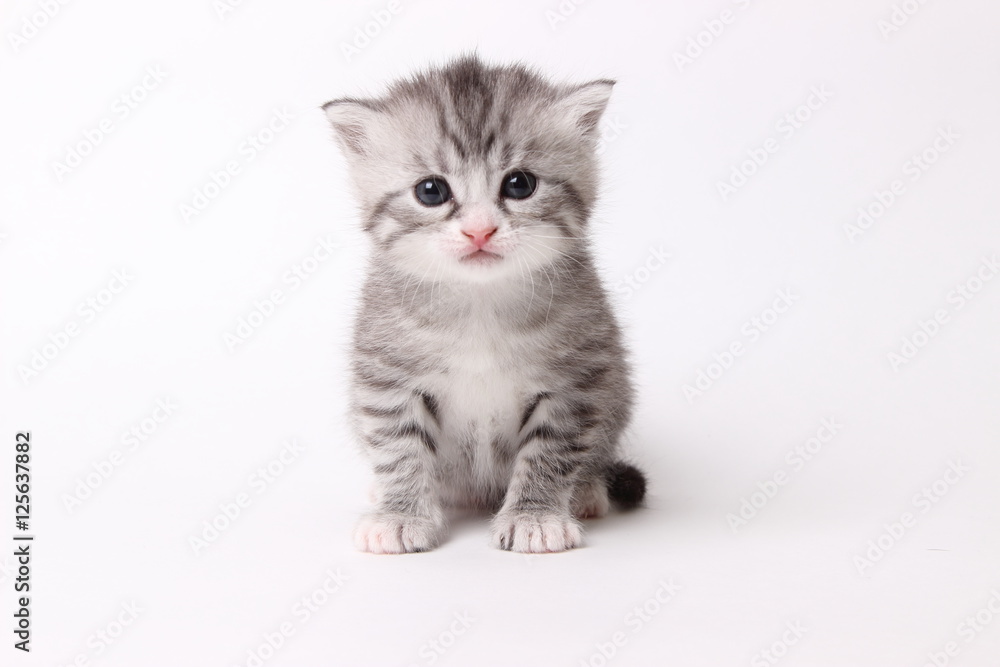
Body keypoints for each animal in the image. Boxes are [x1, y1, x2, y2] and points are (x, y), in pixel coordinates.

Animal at [324, 56, 644, 552]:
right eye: (431, 191)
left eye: (519, 184)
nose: (479, 230)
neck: (478, 304)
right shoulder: (387, 378)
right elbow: (399, 447)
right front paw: (400, 514)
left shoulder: (575, 381)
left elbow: (550, 451)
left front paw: (535, 517)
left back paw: (587, 490)